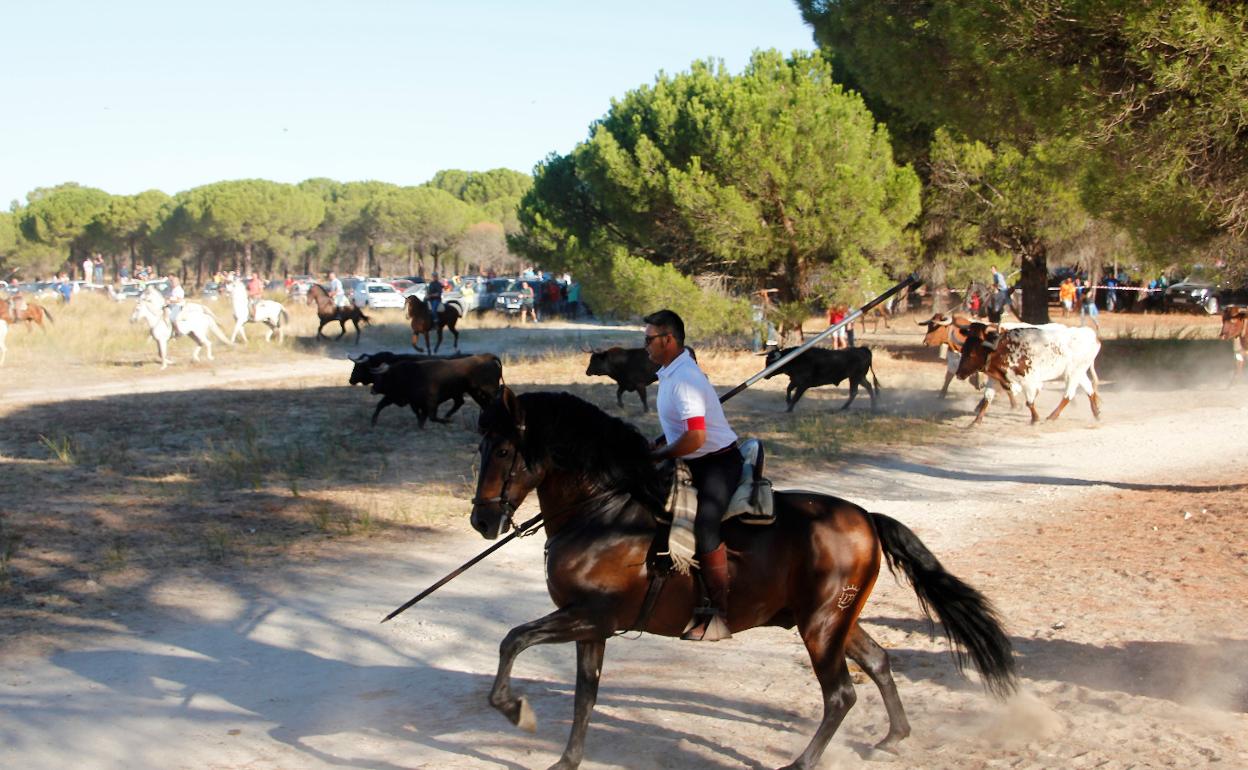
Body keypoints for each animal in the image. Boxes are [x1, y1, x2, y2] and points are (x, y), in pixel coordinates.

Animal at [469, 389, 1013, 768]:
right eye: (481, 448)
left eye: (503, 451)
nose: (481, 520)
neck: (606, 512)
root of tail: (864, 516)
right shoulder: (591, 626)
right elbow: (585, 697)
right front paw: (566, 759)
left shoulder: (589, 616)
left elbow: (512, 640)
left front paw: (514, 709)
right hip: (835, 620)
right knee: (877, 662)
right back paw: (894, 737)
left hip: (820, 627)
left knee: (841, 693)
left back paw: (802, 762)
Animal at [948, 321, 1098, 424]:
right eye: (964, 349)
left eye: (972, 354)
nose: (959, 374)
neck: (1004, 349)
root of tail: (1089, 334)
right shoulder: (995, 379)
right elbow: (987, 399)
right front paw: (976, 421)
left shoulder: (1029, 380)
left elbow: (1030, 402)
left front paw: (1035, 419)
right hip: (1077, 373)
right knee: (1089, 389)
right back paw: (1096, 413)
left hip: (1074, 374)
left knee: (1068, 395)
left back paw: (1052, 416)